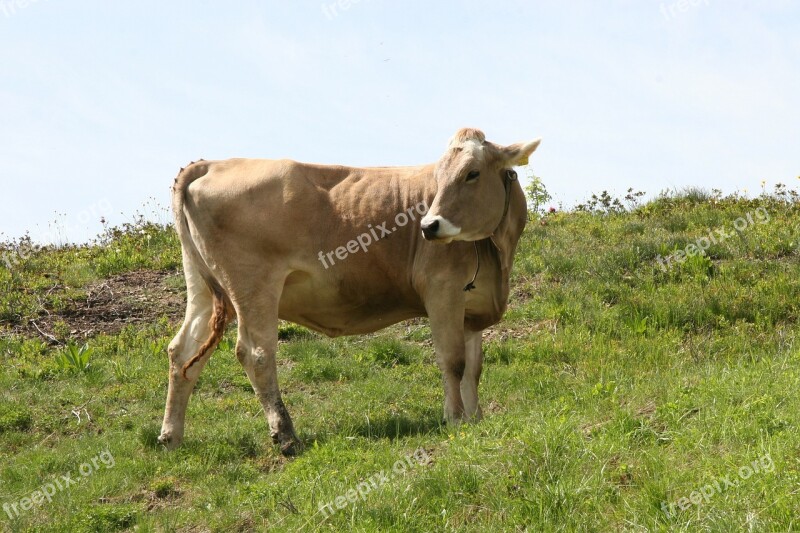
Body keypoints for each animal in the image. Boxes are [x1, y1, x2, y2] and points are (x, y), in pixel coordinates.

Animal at [157, 128, 540, 454]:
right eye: (438, 177)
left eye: (472, 173)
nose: (430, 226)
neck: (497, 257)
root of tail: (212, 163)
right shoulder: (442, 291)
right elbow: (454, 361)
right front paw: (456, 418)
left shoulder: (472, 305)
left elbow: (475, 366)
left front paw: (476, 418)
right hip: (252, 285)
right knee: (256, 354)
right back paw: (286, 436)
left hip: (203, 286)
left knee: (183, 350)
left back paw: (170, 436)